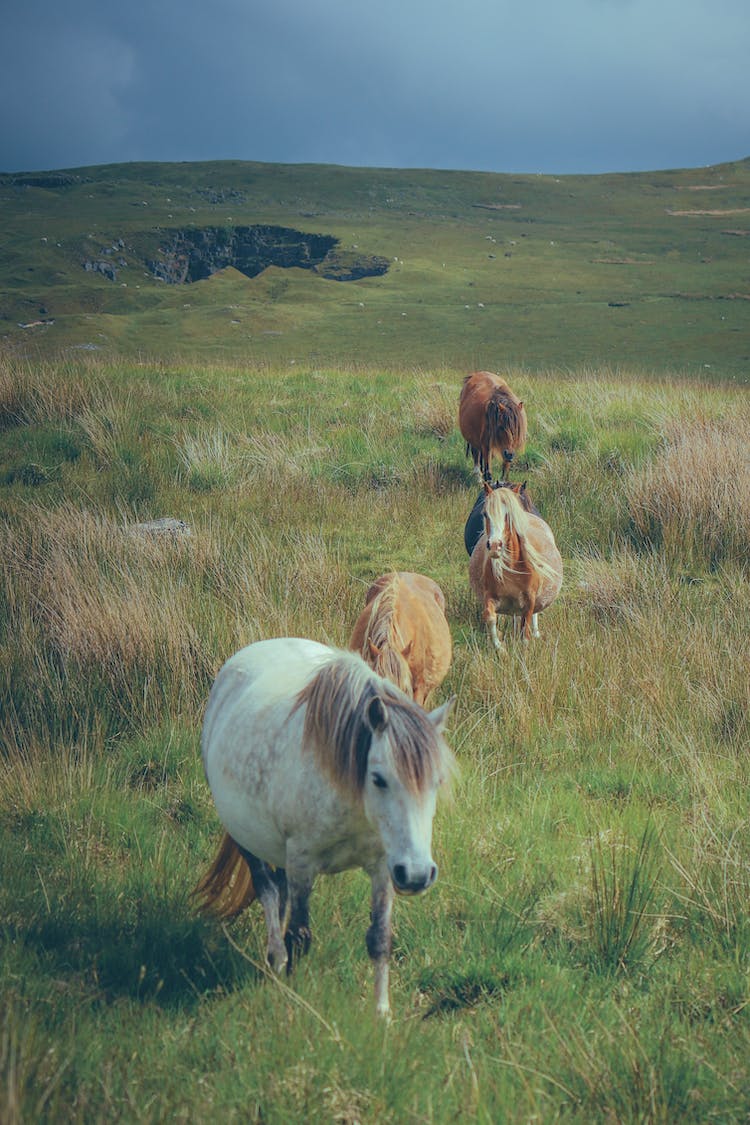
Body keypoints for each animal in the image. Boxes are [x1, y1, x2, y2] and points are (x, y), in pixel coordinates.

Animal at [193, 639, 454, 1017]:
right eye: (379, 779)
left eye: (437, 782)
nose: (417, 875)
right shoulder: (303, 861)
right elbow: (299, 936)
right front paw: (295, 1002)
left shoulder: (383, 867)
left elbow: (380, 937)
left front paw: (382, 1014)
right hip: (247, 839)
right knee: (268, 891)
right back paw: (275, 958)